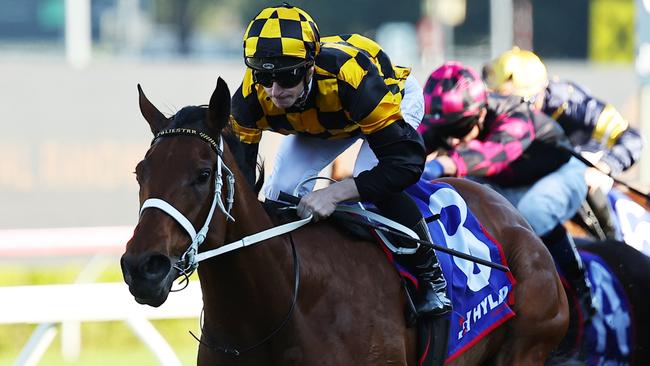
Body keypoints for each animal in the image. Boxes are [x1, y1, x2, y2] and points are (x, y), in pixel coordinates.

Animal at [121, 78, 568, 364]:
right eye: (141, 172)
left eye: (201, 175)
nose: (142, 268)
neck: (276, 307)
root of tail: (520, 225)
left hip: (528, 344)